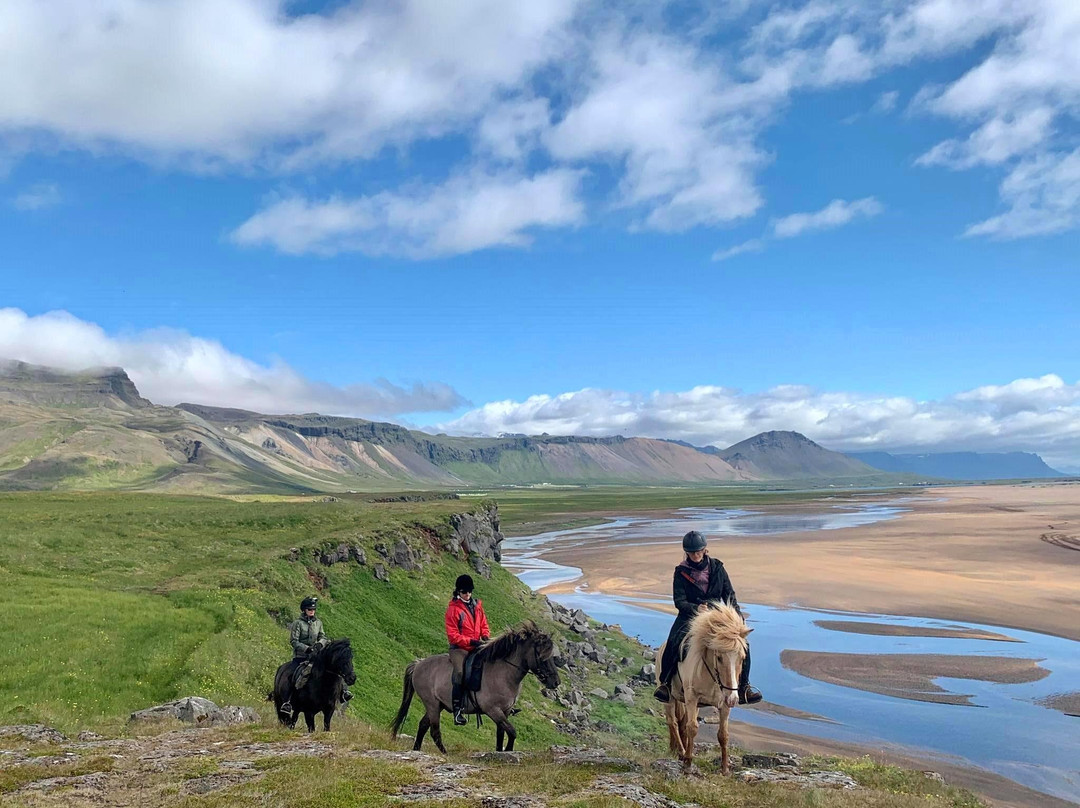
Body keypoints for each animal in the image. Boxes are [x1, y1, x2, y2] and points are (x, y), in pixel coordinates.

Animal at [390, 622, 561, 756]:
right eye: (542, 656)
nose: (556, 682)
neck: (502, 673)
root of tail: (418, 664)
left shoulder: (504, 711)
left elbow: (501, 734)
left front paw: (500, 754)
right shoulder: (493, 710)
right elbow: (512, 732)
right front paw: (508, 751)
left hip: (438, 705)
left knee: (423, 725)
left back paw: (416, 750)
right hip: (431, 704)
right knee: (434, 730)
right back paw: (445, 754)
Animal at [656, 604, 751, 773]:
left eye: (742, 657)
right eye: (719, 657)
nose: (733, 699)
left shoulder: (723, 704)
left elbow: (723, 735)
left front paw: (725, 768)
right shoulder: (692, 698)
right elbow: (692, 728)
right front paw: (688, 763)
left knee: (680, 724)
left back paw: (676, 750)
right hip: (670, 699)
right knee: (672, 722)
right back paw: (681, 752)